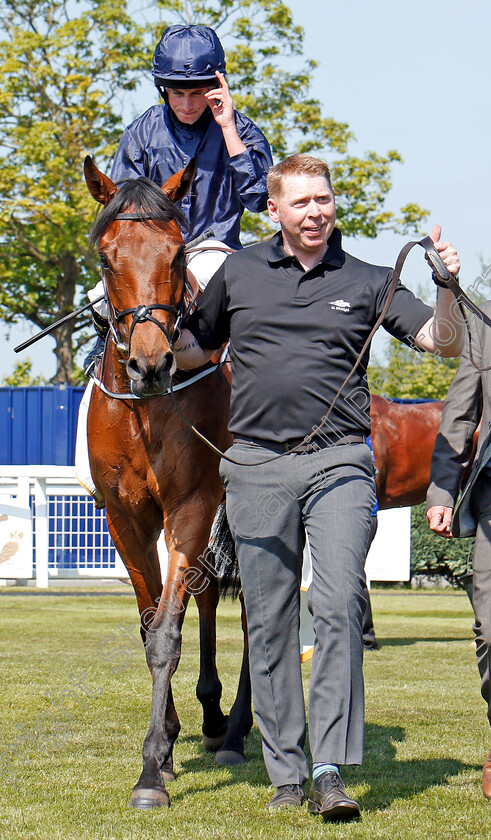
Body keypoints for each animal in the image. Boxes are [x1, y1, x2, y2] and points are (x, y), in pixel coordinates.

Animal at [83, 158, 250, 808]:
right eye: (107, 257)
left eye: (177, 255)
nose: (150, 365)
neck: (146, 410)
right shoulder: (126, 517)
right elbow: (151, 620)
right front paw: (170, 742)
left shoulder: (191, 505)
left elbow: (164, 637)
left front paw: (151, 769)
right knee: (205, 595)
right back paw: (211, 717)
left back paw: (236, 730)